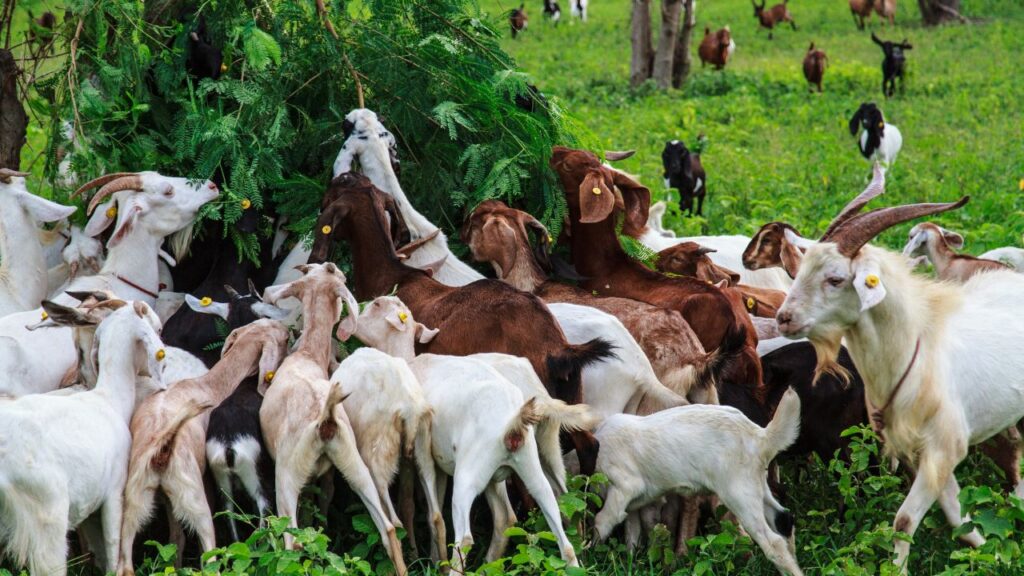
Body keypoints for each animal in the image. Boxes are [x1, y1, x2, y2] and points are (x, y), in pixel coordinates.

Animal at [115, 319, 289, 575]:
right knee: (210, 558)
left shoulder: (170, 499)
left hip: (136, 501)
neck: (211, 385)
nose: (289, 330)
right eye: (282, 339)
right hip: (195, 498)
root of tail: (161, 448)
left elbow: (176, 539)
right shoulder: (207, 478)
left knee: (125, 564)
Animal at [258, 263, 406, 572]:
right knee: (388, 528)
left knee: (291, 542)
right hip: (353, 461)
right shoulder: (324, 474)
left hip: (286, 473)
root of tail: (325, 419)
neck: (307, 356)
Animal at [594, 388, 804, 575]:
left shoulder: (624, 486)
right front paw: (630, 561)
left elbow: (602, 521)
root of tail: (759, 435)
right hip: (756, 484)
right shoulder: (632, 504)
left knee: (773, 542)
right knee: (784, 519)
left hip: (738, 494)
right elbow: (632, 531)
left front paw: (591, 555)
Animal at [775, 193, 1024, 572]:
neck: (914, 354)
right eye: (800, 270)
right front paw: (992, 555)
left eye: (835, 279)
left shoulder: (945, 446)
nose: (784, 318)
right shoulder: (919, 452)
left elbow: (904, 520)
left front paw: (898, 568)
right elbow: (956, 513)